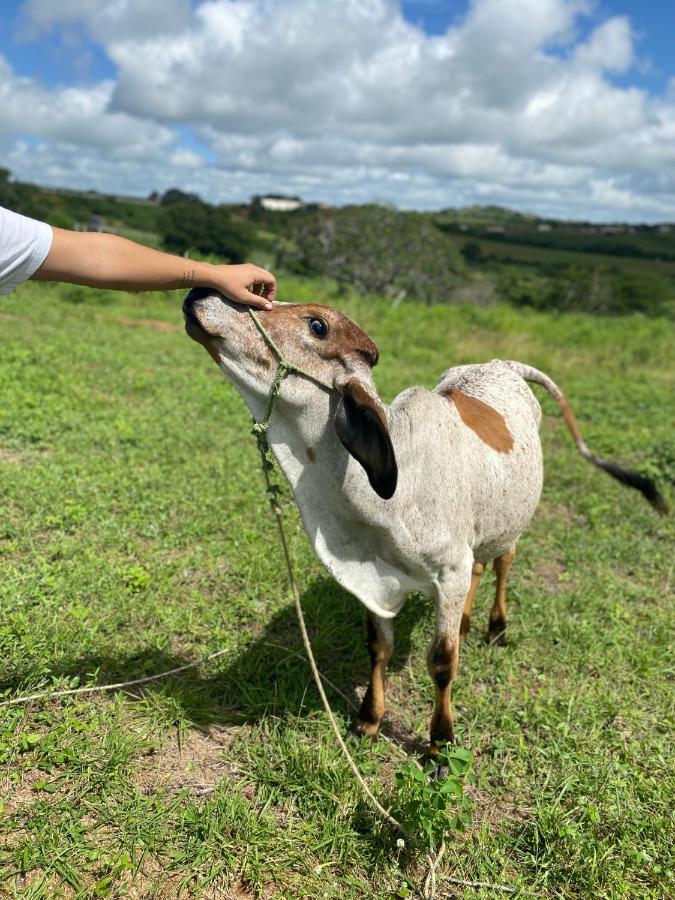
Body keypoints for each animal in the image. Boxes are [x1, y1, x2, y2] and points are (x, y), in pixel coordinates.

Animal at [184, 292, 664, 756]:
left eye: (316, 325)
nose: (200, 292)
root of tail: (504, 364)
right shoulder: (379, 581)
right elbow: (378, 648)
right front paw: (368, 720)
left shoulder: (447, 574)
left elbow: (442, 661)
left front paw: (440, 743)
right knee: (480, 567)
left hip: (510, 524)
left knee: (503, 563)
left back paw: (495, 628)